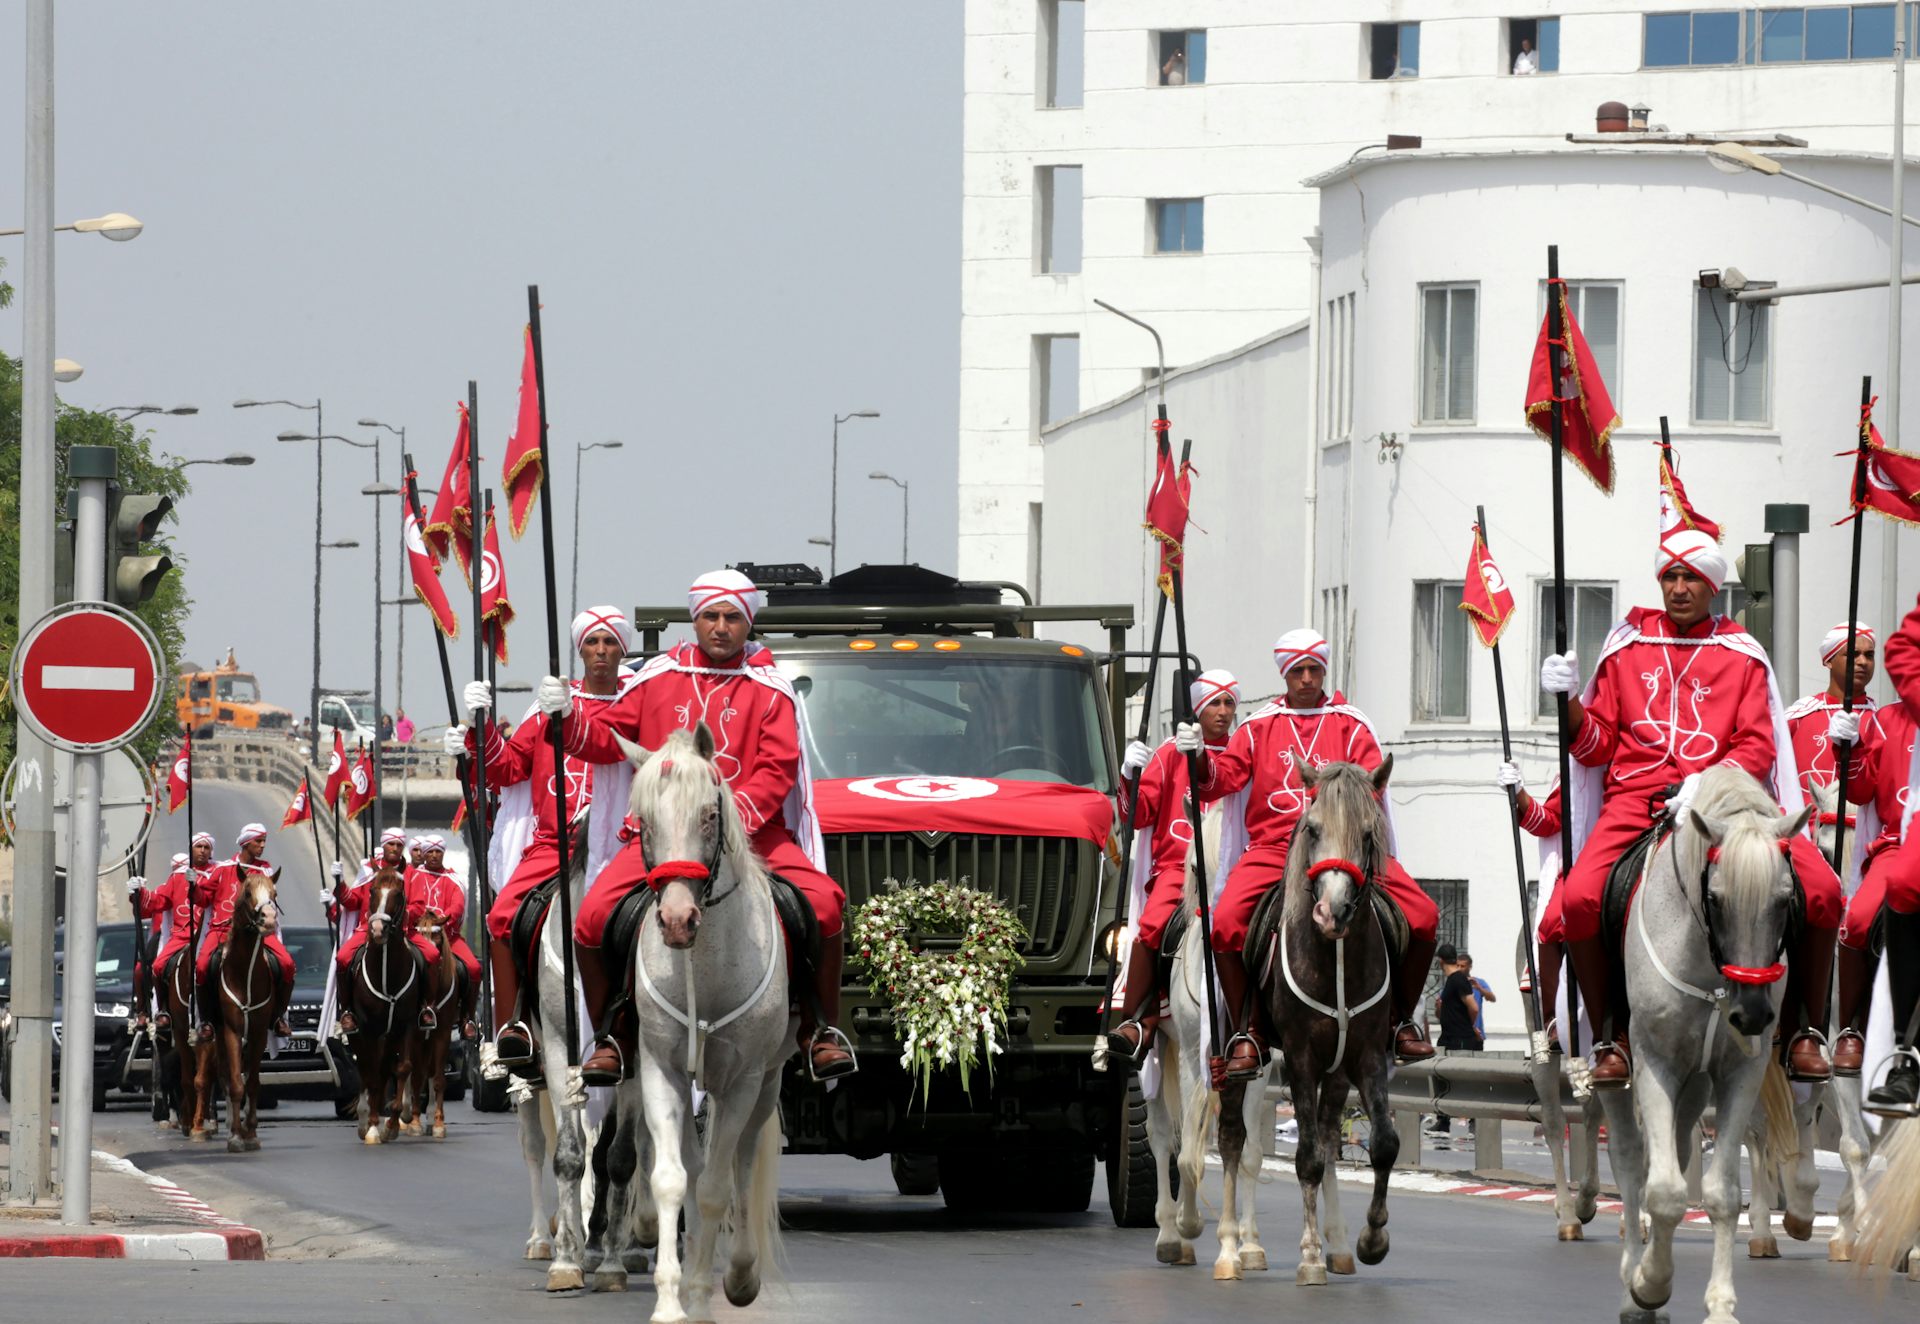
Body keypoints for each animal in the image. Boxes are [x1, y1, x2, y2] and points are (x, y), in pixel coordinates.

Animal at [192, 867, 286, 1143]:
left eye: (274, 893)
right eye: (247, 892)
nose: (268, 919)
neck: (245, 973)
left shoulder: (258, 1031)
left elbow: (252, 1082)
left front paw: (251, 1131)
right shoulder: (232, 1030)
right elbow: (235, 1082)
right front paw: (236, 1136)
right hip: (214, 1036)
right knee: (218, 1076)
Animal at [347, 859, 422, 1135]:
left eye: (398, 894)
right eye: (372, 891)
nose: (378, 929)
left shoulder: (407, 1023)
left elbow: (402, 1067)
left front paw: (394, 1120)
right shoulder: (367, 1026)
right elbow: (370, 1071)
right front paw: (371, 1125)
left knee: (385, 1067)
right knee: (366, 1067)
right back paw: (365, 1118)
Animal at [610, 721, 798, 1320]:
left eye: (709, 815)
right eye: (643, 821)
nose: (676, 920)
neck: (706, 964)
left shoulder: (741, 1081)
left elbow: (718, 1187)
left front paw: (704, 1292)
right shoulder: (660, 1070)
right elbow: (674, 1181)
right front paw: (673, 1300)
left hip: (765, 1081)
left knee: (740, 1158)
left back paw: (737, 1274)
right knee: (693, 1165)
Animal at [1136, 809, 1274, 1274]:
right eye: (1194, 867)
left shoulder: (1259, 1068)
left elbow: (1249, 1151)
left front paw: (1249, 1245)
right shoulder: (1193, 1059)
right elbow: (1186, 1151)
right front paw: (1188, 1224)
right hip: (1161, 1049)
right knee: (1162, 1136)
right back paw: (1168, 1232)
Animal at [1605, 763, 1812, 1320]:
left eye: (1785, 901)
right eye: (1715, 899)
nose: (1753, 1014)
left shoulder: (1741, 1073)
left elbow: (1718, 1192)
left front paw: (1719, 1302)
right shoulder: (1653, 1062)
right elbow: (1663, 1190)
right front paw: (1649, 1283)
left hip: (1695, 1086)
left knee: (1672, 1151)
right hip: (1620, 1076)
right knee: (1631, 1160)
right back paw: (1632, 1277)